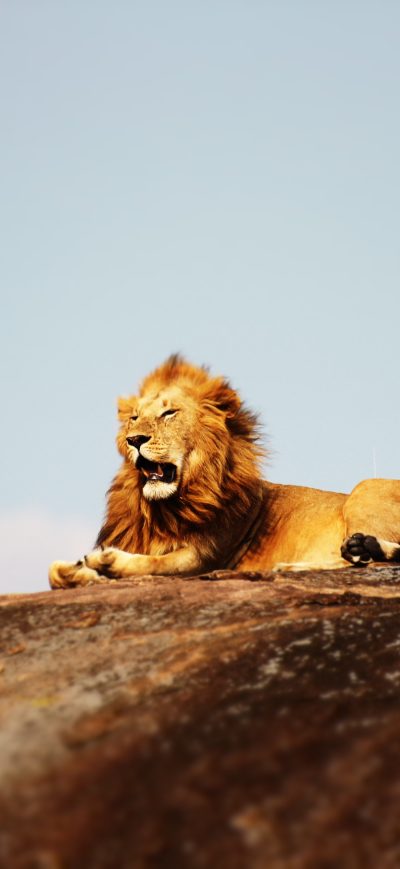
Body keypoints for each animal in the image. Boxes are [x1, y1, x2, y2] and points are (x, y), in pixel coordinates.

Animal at [49, 355, 400, 588]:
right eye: (134, 418)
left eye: (169, 413)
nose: (134, 440)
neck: (164, 508)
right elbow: (53, 571)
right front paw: (78, 571)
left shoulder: (203, 557)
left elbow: (155, 563)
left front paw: (106, 561)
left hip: (365, 488)